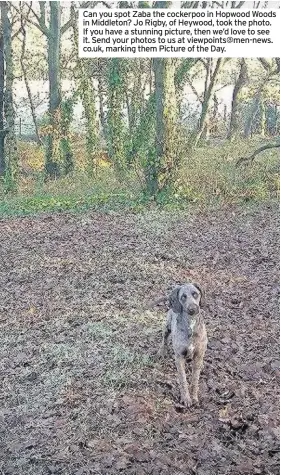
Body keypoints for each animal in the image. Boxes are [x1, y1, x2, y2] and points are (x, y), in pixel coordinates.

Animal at [158, 282, 208, 410]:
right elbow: (183, 379)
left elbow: (195, 379)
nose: (193, 308)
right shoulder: (179, 357)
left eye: (195, 294)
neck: (191, 324)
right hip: (167, 326)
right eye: (183, 297)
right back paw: (162, 352)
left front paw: (194, 398)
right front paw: (186, 398)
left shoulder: (198, 356)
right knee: (164, 338)